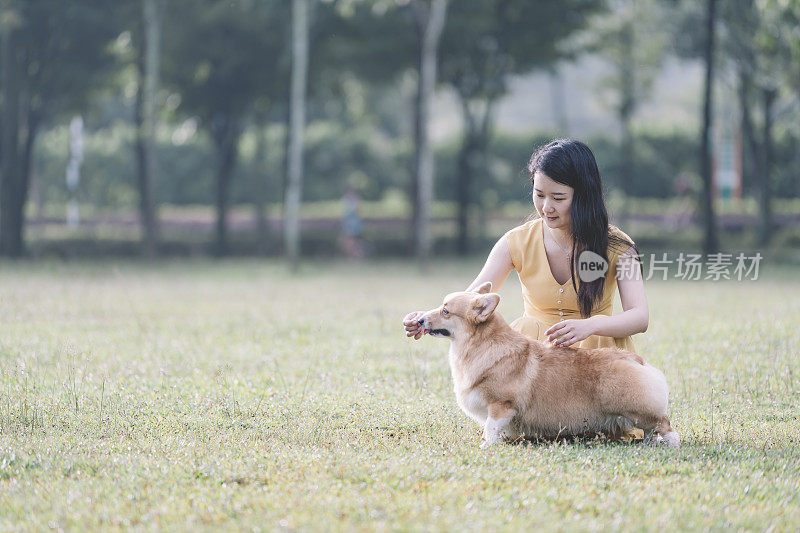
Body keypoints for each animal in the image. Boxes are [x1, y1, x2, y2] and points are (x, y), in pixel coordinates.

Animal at [416, 280, 680, 446]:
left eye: (446, 311)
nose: (419, 319)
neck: (482, 344)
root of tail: (639, 361)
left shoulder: (501, 405)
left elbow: (490, 428)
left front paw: (486, 447)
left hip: (639, 411)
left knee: (665, 426)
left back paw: (671, 445)